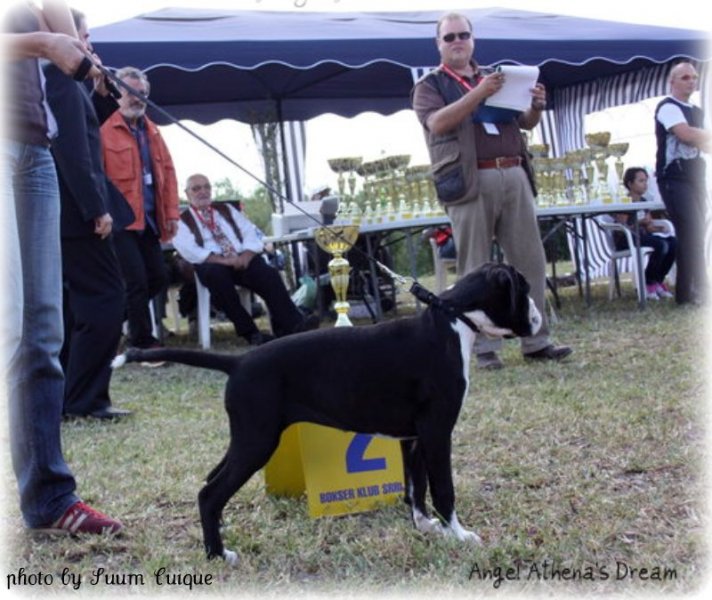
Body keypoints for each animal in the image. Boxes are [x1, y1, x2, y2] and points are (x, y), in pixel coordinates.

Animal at [114, 262, 544, 564]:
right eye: (522, 288)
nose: (539, 313)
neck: (452, 318)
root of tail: (238, 363)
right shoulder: (438, 432)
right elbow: (443, 489)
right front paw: (460, 535)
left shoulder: (414, 437)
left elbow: (415, 487)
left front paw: (426, 527)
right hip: (257, 442)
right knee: (209, 494)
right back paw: (217, 555)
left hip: (247, 439)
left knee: (210, 482)